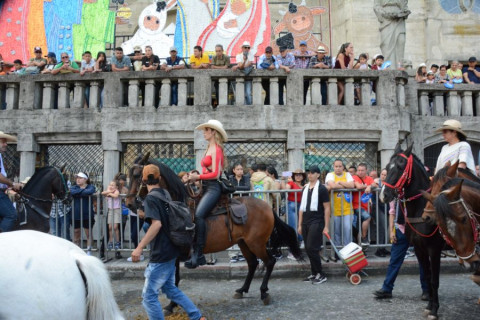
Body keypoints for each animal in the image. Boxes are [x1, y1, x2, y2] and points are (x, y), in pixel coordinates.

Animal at [125, 154, 302, 306]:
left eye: (137, 175)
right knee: (252, 263)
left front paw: (172, 305)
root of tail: (268, 207)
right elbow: (173, 278)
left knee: (269, 261)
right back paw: (242, 289)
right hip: (244, 243)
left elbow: (175, 279)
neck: (175, 206)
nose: (129, 203)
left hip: (256, 243)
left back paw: (264, 292)